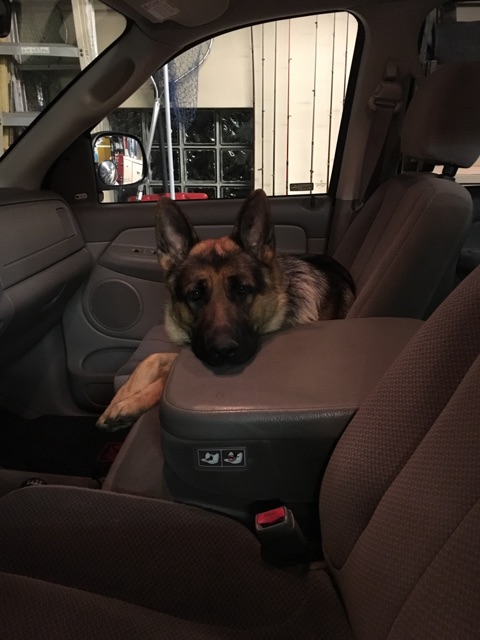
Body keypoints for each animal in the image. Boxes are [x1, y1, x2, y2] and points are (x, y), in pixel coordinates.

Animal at [96, 188, 355, 431]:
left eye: (242, 289)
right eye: (196, 294)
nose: (222, 351)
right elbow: (151, 359)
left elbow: (166, 379)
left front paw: (130, 404)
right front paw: (118, 399)